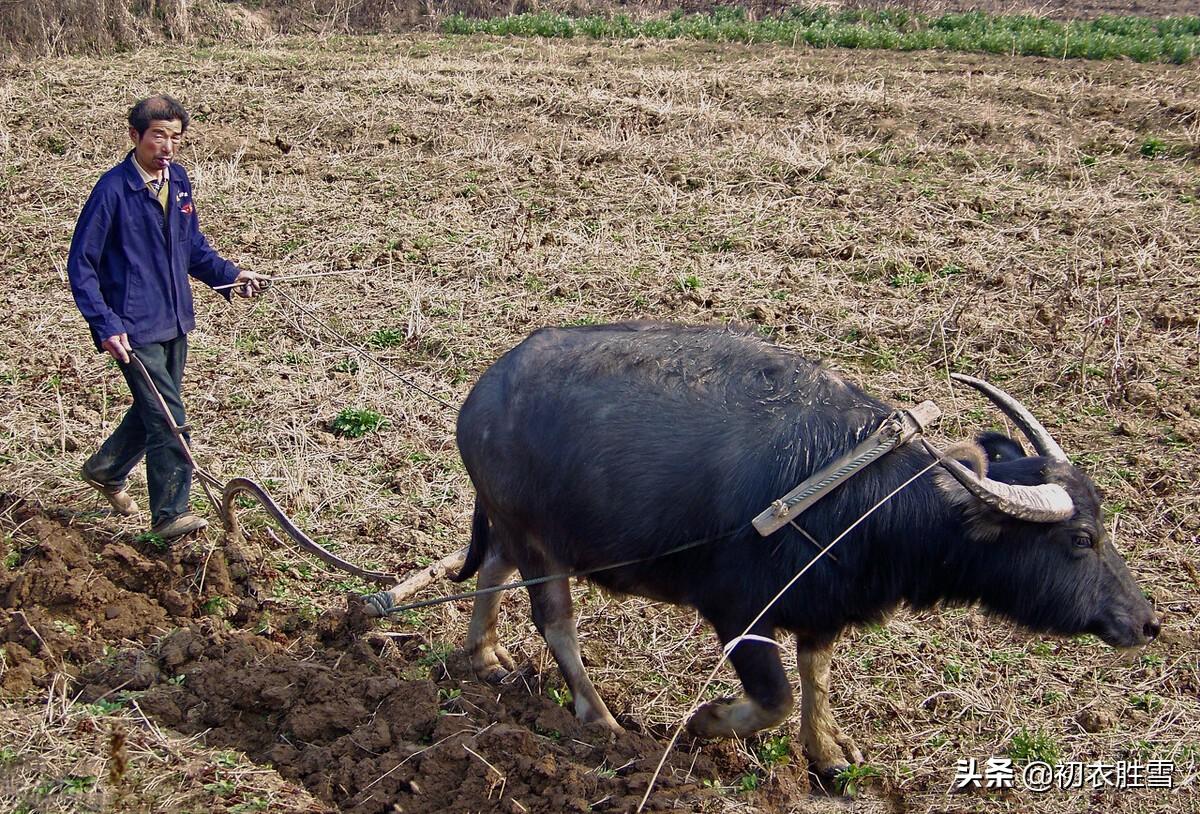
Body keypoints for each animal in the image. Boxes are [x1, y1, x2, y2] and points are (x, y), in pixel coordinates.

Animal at [448, 321, 1152, 782]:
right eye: (1080, 539)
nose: (1146, 622)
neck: (865, 501)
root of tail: (479, 399)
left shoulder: (823, 607)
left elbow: (816, 674)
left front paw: (828, 753)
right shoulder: (740, 615)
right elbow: (777, 697)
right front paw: (705, 722)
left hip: (521, 531)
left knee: (492, 568)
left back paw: (482, 654)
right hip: (538, 541)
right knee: (556, 621)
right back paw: (599, 718)